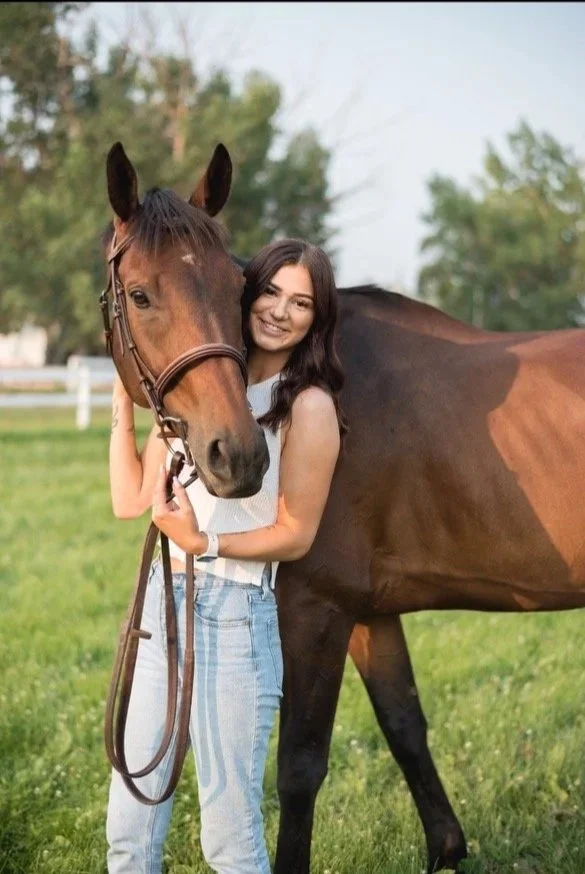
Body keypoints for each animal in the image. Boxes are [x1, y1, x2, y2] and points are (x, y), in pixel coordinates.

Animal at [103, 142, 585, 873]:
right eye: (140, 294)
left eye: (235, 290)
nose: (236, 456)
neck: (317, 383)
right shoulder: (368, 612)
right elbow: (405, 724)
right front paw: (447, 849)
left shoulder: (316, 607)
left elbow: (299, 768)